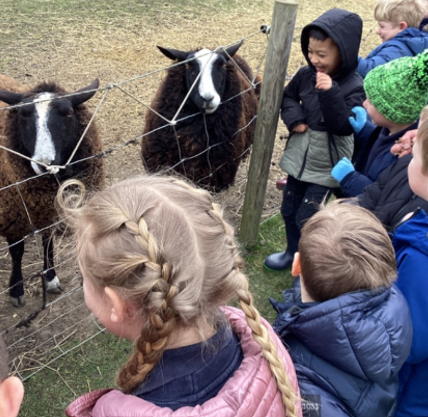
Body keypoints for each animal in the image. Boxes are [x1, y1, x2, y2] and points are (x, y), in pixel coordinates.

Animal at [0, 75, 105, 306]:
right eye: (22, 115)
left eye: (68, 113)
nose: (45, 163)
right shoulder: (12, 213)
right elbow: (17, 251)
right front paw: (17, 289)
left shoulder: (48, 209)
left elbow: (48, 242)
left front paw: (50, 278)